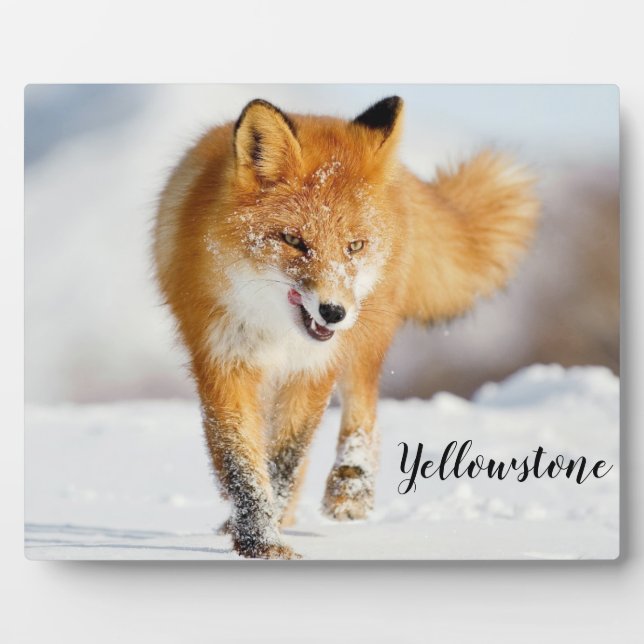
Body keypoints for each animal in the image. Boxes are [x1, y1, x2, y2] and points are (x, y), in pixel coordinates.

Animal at [153, 96, 539, 559]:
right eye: (294, 241)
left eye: (354, 246)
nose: (333, 311)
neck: (276, 333)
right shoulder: (223, 362)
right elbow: (243, 462)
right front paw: (260, 539)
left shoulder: (314, 368)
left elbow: (285, 459)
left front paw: (265, 534)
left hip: (364, 339)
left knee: (364, 409)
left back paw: (350, 489)